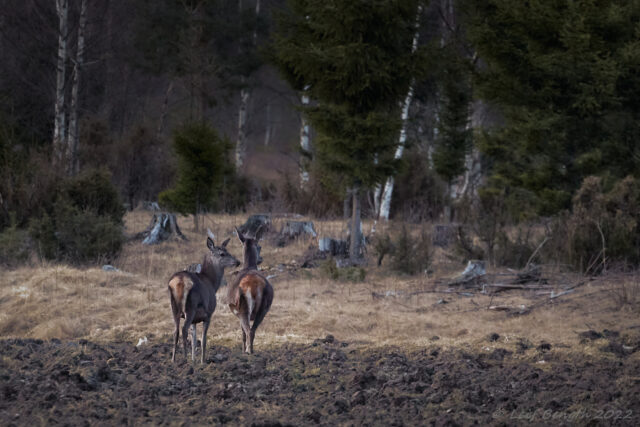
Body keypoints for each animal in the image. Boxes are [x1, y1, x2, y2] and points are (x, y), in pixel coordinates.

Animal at [168, 231, 240, 364]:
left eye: (227, 250)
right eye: (222, 254)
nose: (237, 262)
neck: (212, 283)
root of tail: (178, 282)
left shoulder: (195, 320)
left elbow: (194, 339)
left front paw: (194, 360)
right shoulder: (208, 313)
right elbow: (203, 339)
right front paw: (202, 361)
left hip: (174, 307)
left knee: (175, 331)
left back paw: (173, 360)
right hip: (190, 307)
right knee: (183, 329)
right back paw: (184, 359)